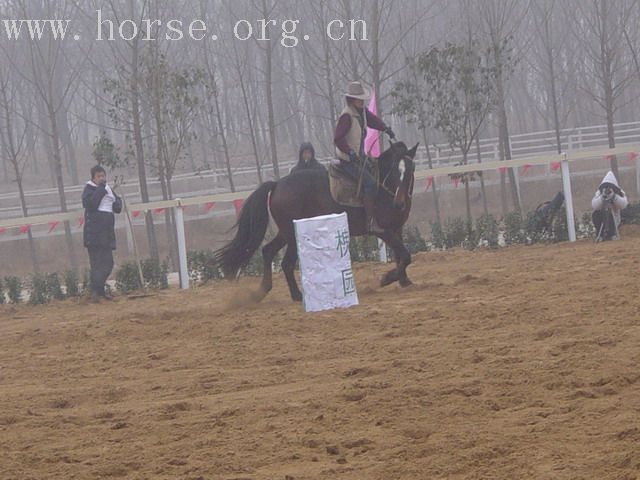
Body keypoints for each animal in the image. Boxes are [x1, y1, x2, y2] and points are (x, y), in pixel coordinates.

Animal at [212, 141, 418, 302]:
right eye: (394, 169)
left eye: (410, 169)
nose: (399, 203)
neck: (384, 188)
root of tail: (277, 184)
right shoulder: (383, 231)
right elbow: (406, 255)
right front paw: (388, 278)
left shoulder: (397, 229)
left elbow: (401, 256)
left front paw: (404, 281)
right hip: (291, 235)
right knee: (286, 263)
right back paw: (297, 295)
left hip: (285, 233)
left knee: (268, 251)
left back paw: (264, 290)